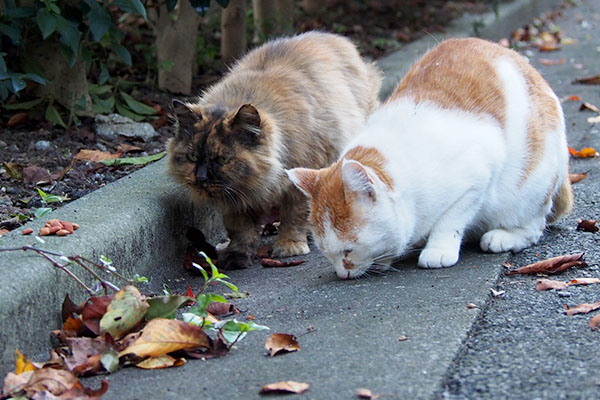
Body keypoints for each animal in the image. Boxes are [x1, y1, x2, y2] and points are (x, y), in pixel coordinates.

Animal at [166, 30, 382, 268]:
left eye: (223, 159)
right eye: (192, 157)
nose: (201, 178)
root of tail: (334, 37)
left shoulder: (298, 179)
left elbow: (294, 216)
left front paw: (289, 246)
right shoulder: (236, 197)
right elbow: (239, 228)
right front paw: (237, 256)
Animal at [288, 39, 576, 280]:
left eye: (348, 250)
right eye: (326, 252)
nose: (341, 273)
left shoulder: (477, 178)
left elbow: (450, 220)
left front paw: (438, 249)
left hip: (532, 189)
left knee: (534, 227)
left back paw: (502, 236)